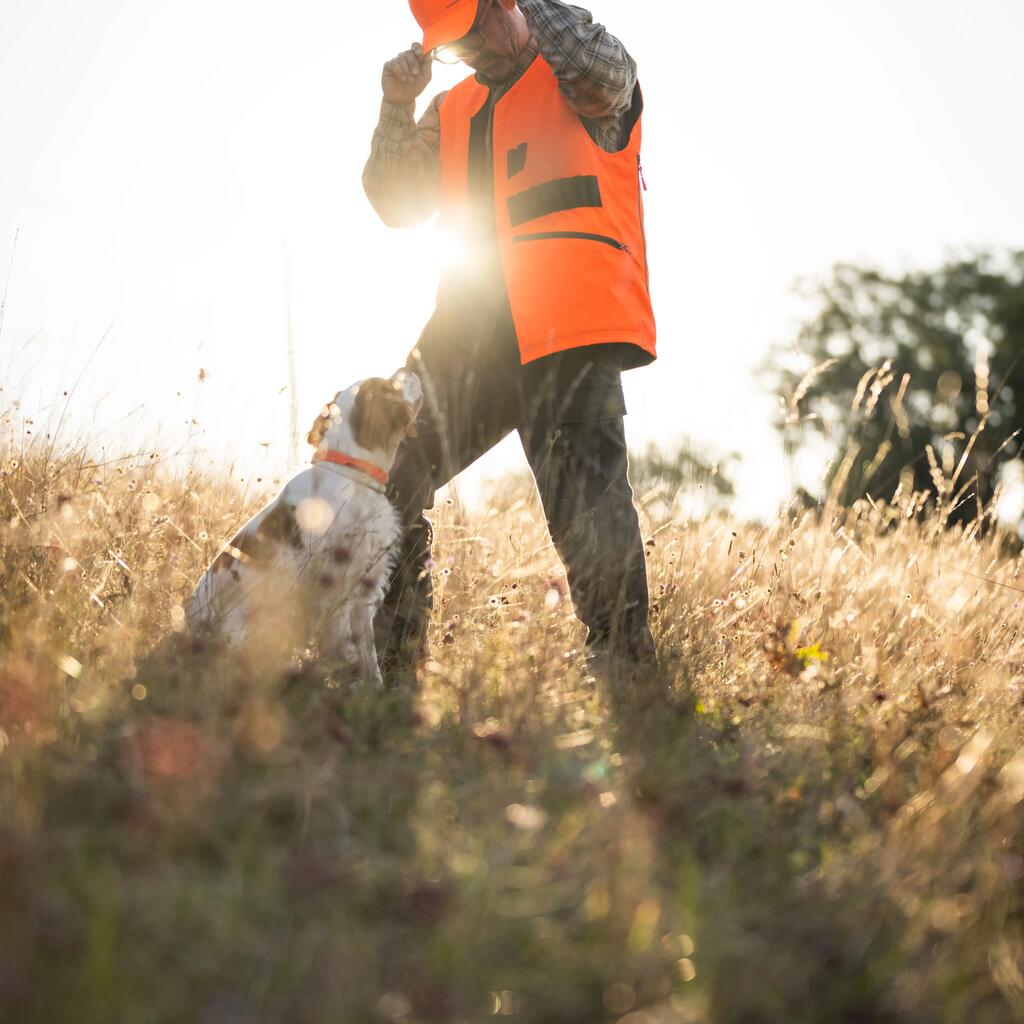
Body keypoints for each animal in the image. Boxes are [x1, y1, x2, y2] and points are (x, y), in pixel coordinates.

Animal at [186, 370, 421, 688]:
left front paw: (374, 689)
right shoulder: (334, 587)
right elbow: (344, 647)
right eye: (391, 385)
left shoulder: (363, 587)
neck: (351, 473)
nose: (411, 370)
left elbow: (368, 652)